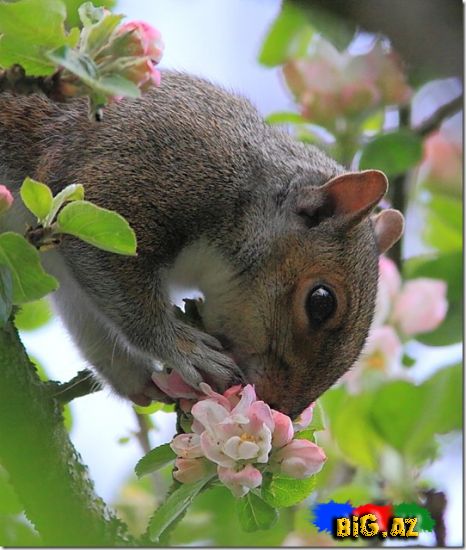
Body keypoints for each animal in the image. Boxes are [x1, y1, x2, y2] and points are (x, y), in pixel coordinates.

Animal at [0, 72, 402, 418]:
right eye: (321, 302)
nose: (277, 407)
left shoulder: (63, 266)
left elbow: (88, 323)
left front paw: (137, 379)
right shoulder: (131, 182)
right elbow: (124, 294)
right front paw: (183, 348)